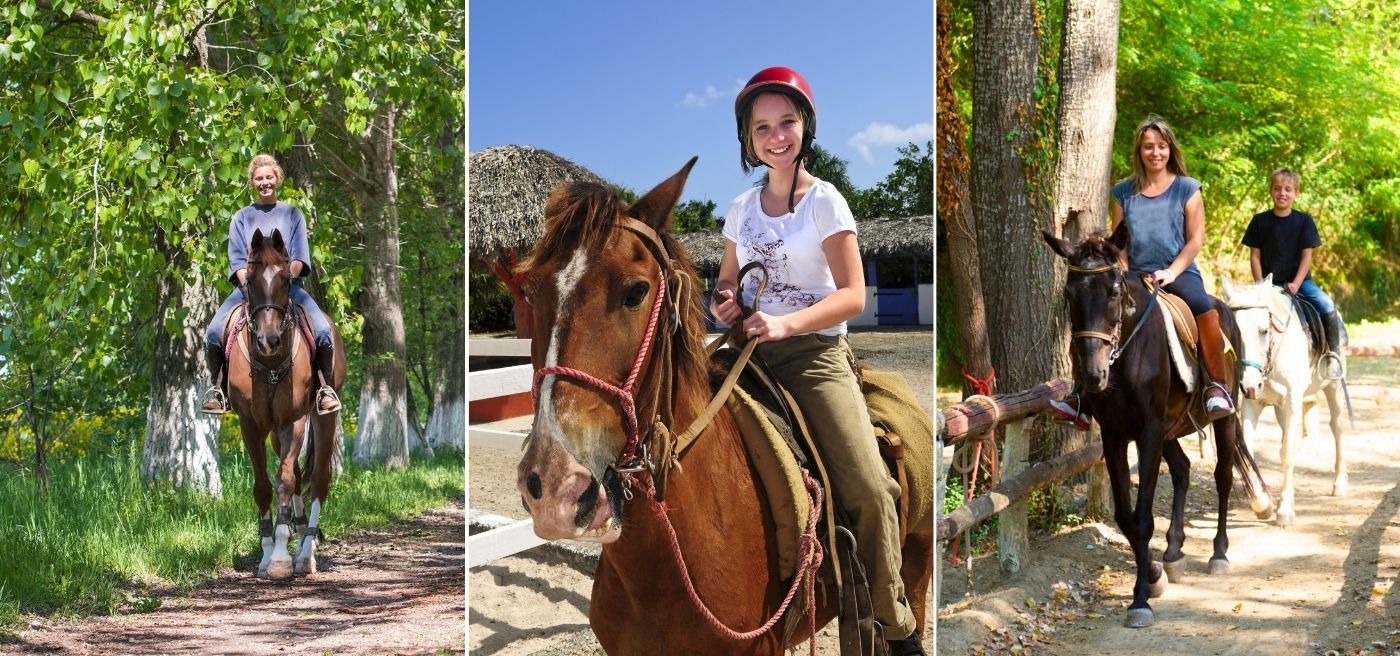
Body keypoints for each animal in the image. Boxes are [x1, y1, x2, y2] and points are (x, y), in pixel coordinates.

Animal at [229, 227, 347, 576]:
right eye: (251, 281)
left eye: (285, 280)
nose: (268, 341)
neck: (269, 364)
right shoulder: (251, 424)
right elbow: (264, 486)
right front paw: (268, 553)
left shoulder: (294, 420)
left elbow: (284, 481)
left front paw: (280, 558)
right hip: (275, 432)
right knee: (294, 471)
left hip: (322, 417)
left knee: (317, 480)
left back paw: (305, 554)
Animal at [1047, 227, 1276, 626]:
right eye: (1070, 294)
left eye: (1114, 292)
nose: (1092, 375)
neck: (1125, 357)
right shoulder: (1116, 435)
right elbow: (1125, 517)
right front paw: (1153, 574)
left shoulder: (1149, 432)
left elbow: (1141, 518)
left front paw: (1141, 599)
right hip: (1171, 427)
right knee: (1183, 470)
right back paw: (1173, 552)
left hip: (1223, 418)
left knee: (1222, 476)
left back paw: (1218, 554)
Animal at [1226, 275, 1344, 525]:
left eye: (1263, 331)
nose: (1249, 385)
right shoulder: (1252, 403)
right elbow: (1250, 451)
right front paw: (1263, 505)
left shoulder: (1292, 400)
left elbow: (1288, 453)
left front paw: (1285, 511)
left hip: (1333, 386)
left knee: (1337, 427)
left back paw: (1339, 484)